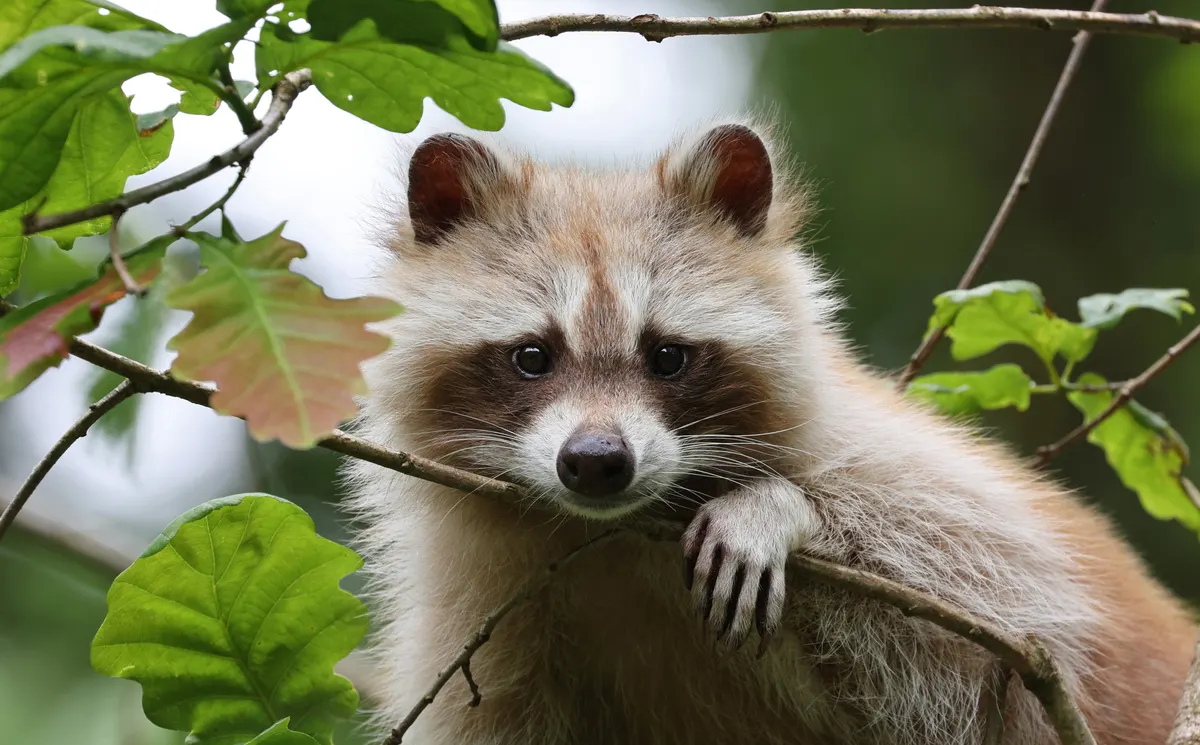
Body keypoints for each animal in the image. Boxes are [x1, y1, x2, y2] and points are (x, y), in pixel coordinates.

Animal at [343, 120, 1195, 745]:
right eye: (532, 356)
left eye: (667, 355)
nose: (596, 462)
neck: (612, 536)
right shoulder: (481, 619)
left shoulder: (925, 490)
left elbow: (996, 629)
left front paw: (779, 508)